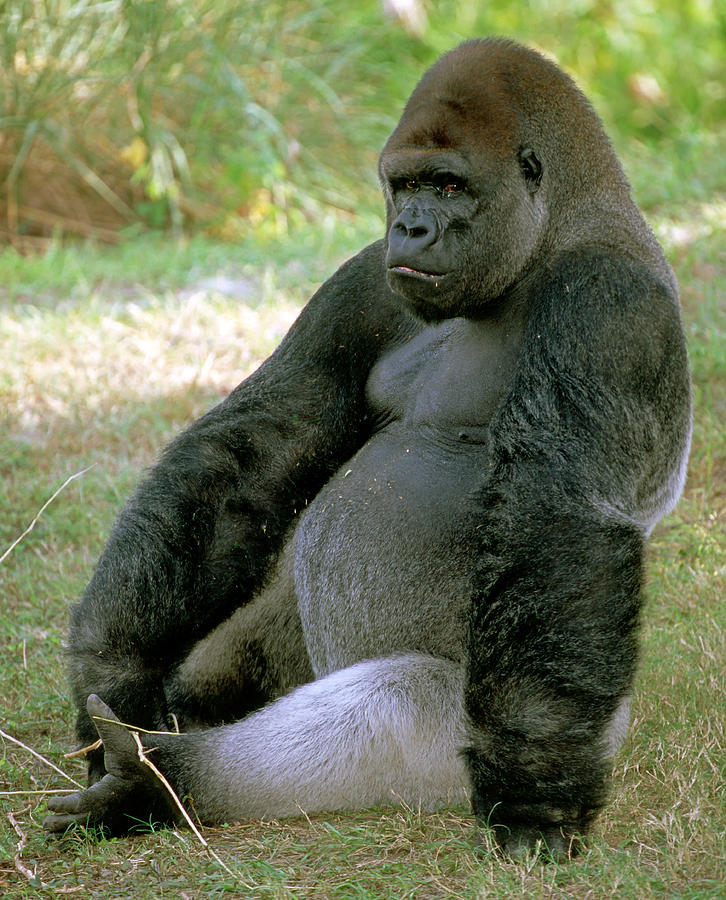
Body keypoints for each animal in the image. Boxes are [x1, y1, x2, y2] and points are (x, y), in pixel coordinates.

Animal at [42, 40, 692, 856]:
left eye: (449, 185)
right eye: (405, 184)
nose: (411, 228)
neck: (559, 228)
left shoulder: (607, 308)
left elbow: (559, 516)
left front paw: (536, 795)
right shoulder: (361, 282)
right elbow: (256, 448)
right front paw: (115, 663)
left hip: (535, 728)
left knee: (389, 707)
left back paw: (165, 780)